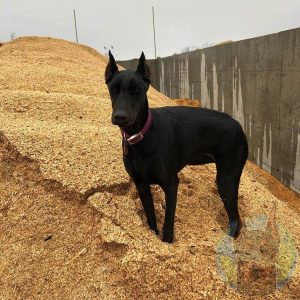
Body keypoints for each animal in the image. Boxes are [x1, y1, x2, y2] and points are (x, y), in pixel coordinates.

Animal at [105, 51, 248, 244]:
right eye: (113, 88)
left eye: (137, 90)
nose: (120, 116)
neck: (141, 135)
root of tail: (239, 126)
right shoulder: (142, 186)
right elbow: (151, 219)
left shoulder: (171, 184)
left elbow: (168, 223)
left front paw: (167, 241)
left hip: (226, 181)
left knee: (236, 220)